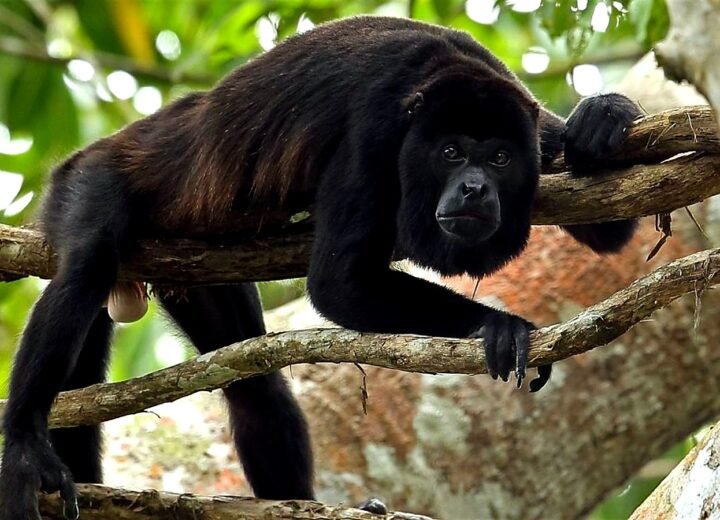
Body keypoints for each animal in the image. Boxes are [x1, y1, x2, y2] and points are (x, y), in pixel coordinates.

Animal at [0, 16, 640, 519]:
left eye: (502, 157)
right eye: (452, 152)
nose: (475, 188)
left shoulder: (524, 118)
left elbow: (608, 225)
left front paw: (604, 117)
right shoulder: (377, 130)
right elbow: (338, 284)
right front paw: (500, 325)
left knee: (255, 385)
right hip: (86, 179)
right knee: (84, 269)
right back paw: (26, 443)